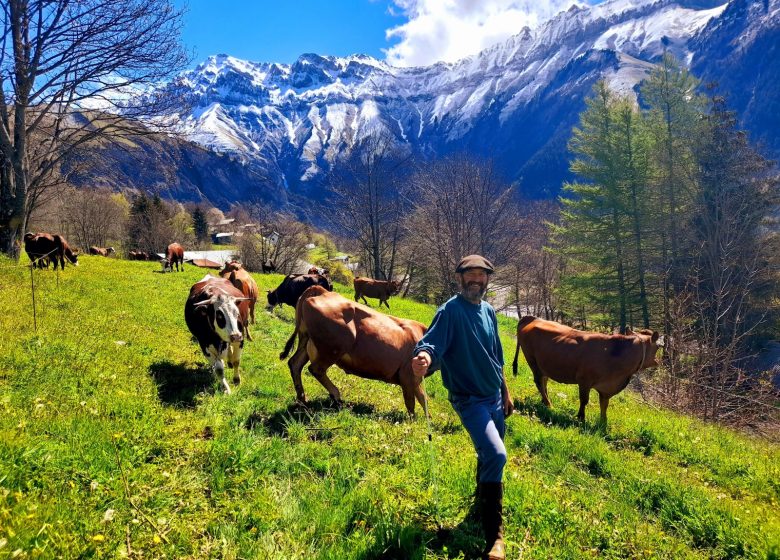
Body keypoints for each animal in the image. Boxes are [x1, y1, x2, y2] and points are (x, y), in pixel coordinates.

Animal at [280, 286, 430, 414]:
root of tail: (323, 291)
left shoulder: (415, 379)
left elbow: (423, 399)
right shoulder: (408, 376)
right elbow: (411, 403)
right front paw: (412, 422)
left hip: (306, 340)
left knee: (295, 364)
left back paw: (302, 399)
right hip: (333, 347)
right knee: (316, 369)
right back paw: (336, 396)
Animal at [516, 316, 660, 424]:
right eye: (658, 347)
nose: (658, 362)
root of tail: (532, 318)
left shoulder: (606, 387)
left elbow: (604, 404)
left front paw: (603, 422)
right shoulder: (584, 381)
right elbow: (584, 400)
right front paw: (581, 417)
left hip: (543, 365)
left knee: (544, 381)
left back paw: (544, 400)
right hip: (532, 361)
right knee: (539, 382)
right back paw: (548, 404)